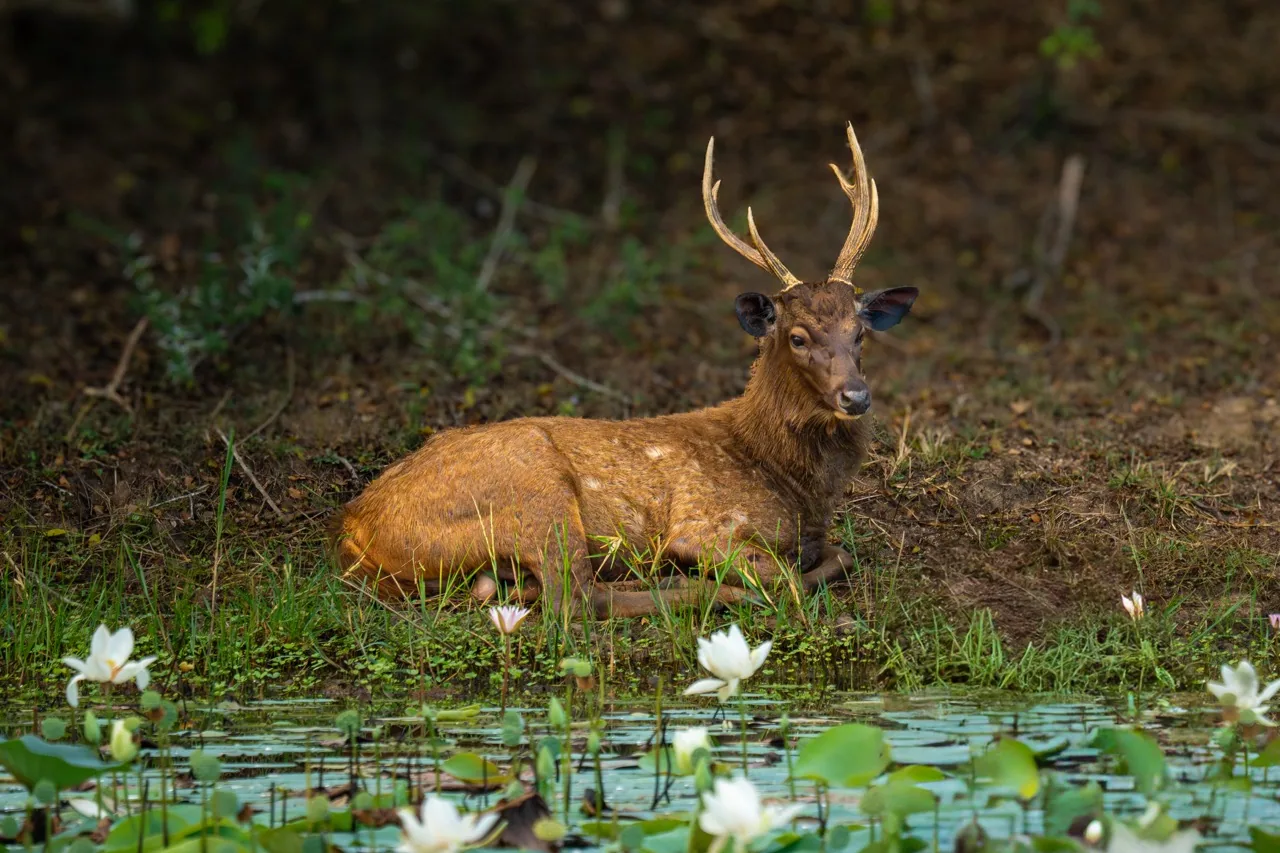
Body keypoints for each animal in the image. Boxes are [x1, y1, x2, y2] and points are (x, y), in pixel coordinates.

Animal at [334, 123, 918, 618]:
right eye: (797, 337)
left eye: (860, 332)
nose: (855, 397)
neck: (791, 484)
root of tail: (354, 530)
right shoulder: (702, 522)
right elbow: (791, 574)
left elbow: (841, 554)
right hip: (537, 493)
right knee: (576, 597)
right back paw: (684, 584)